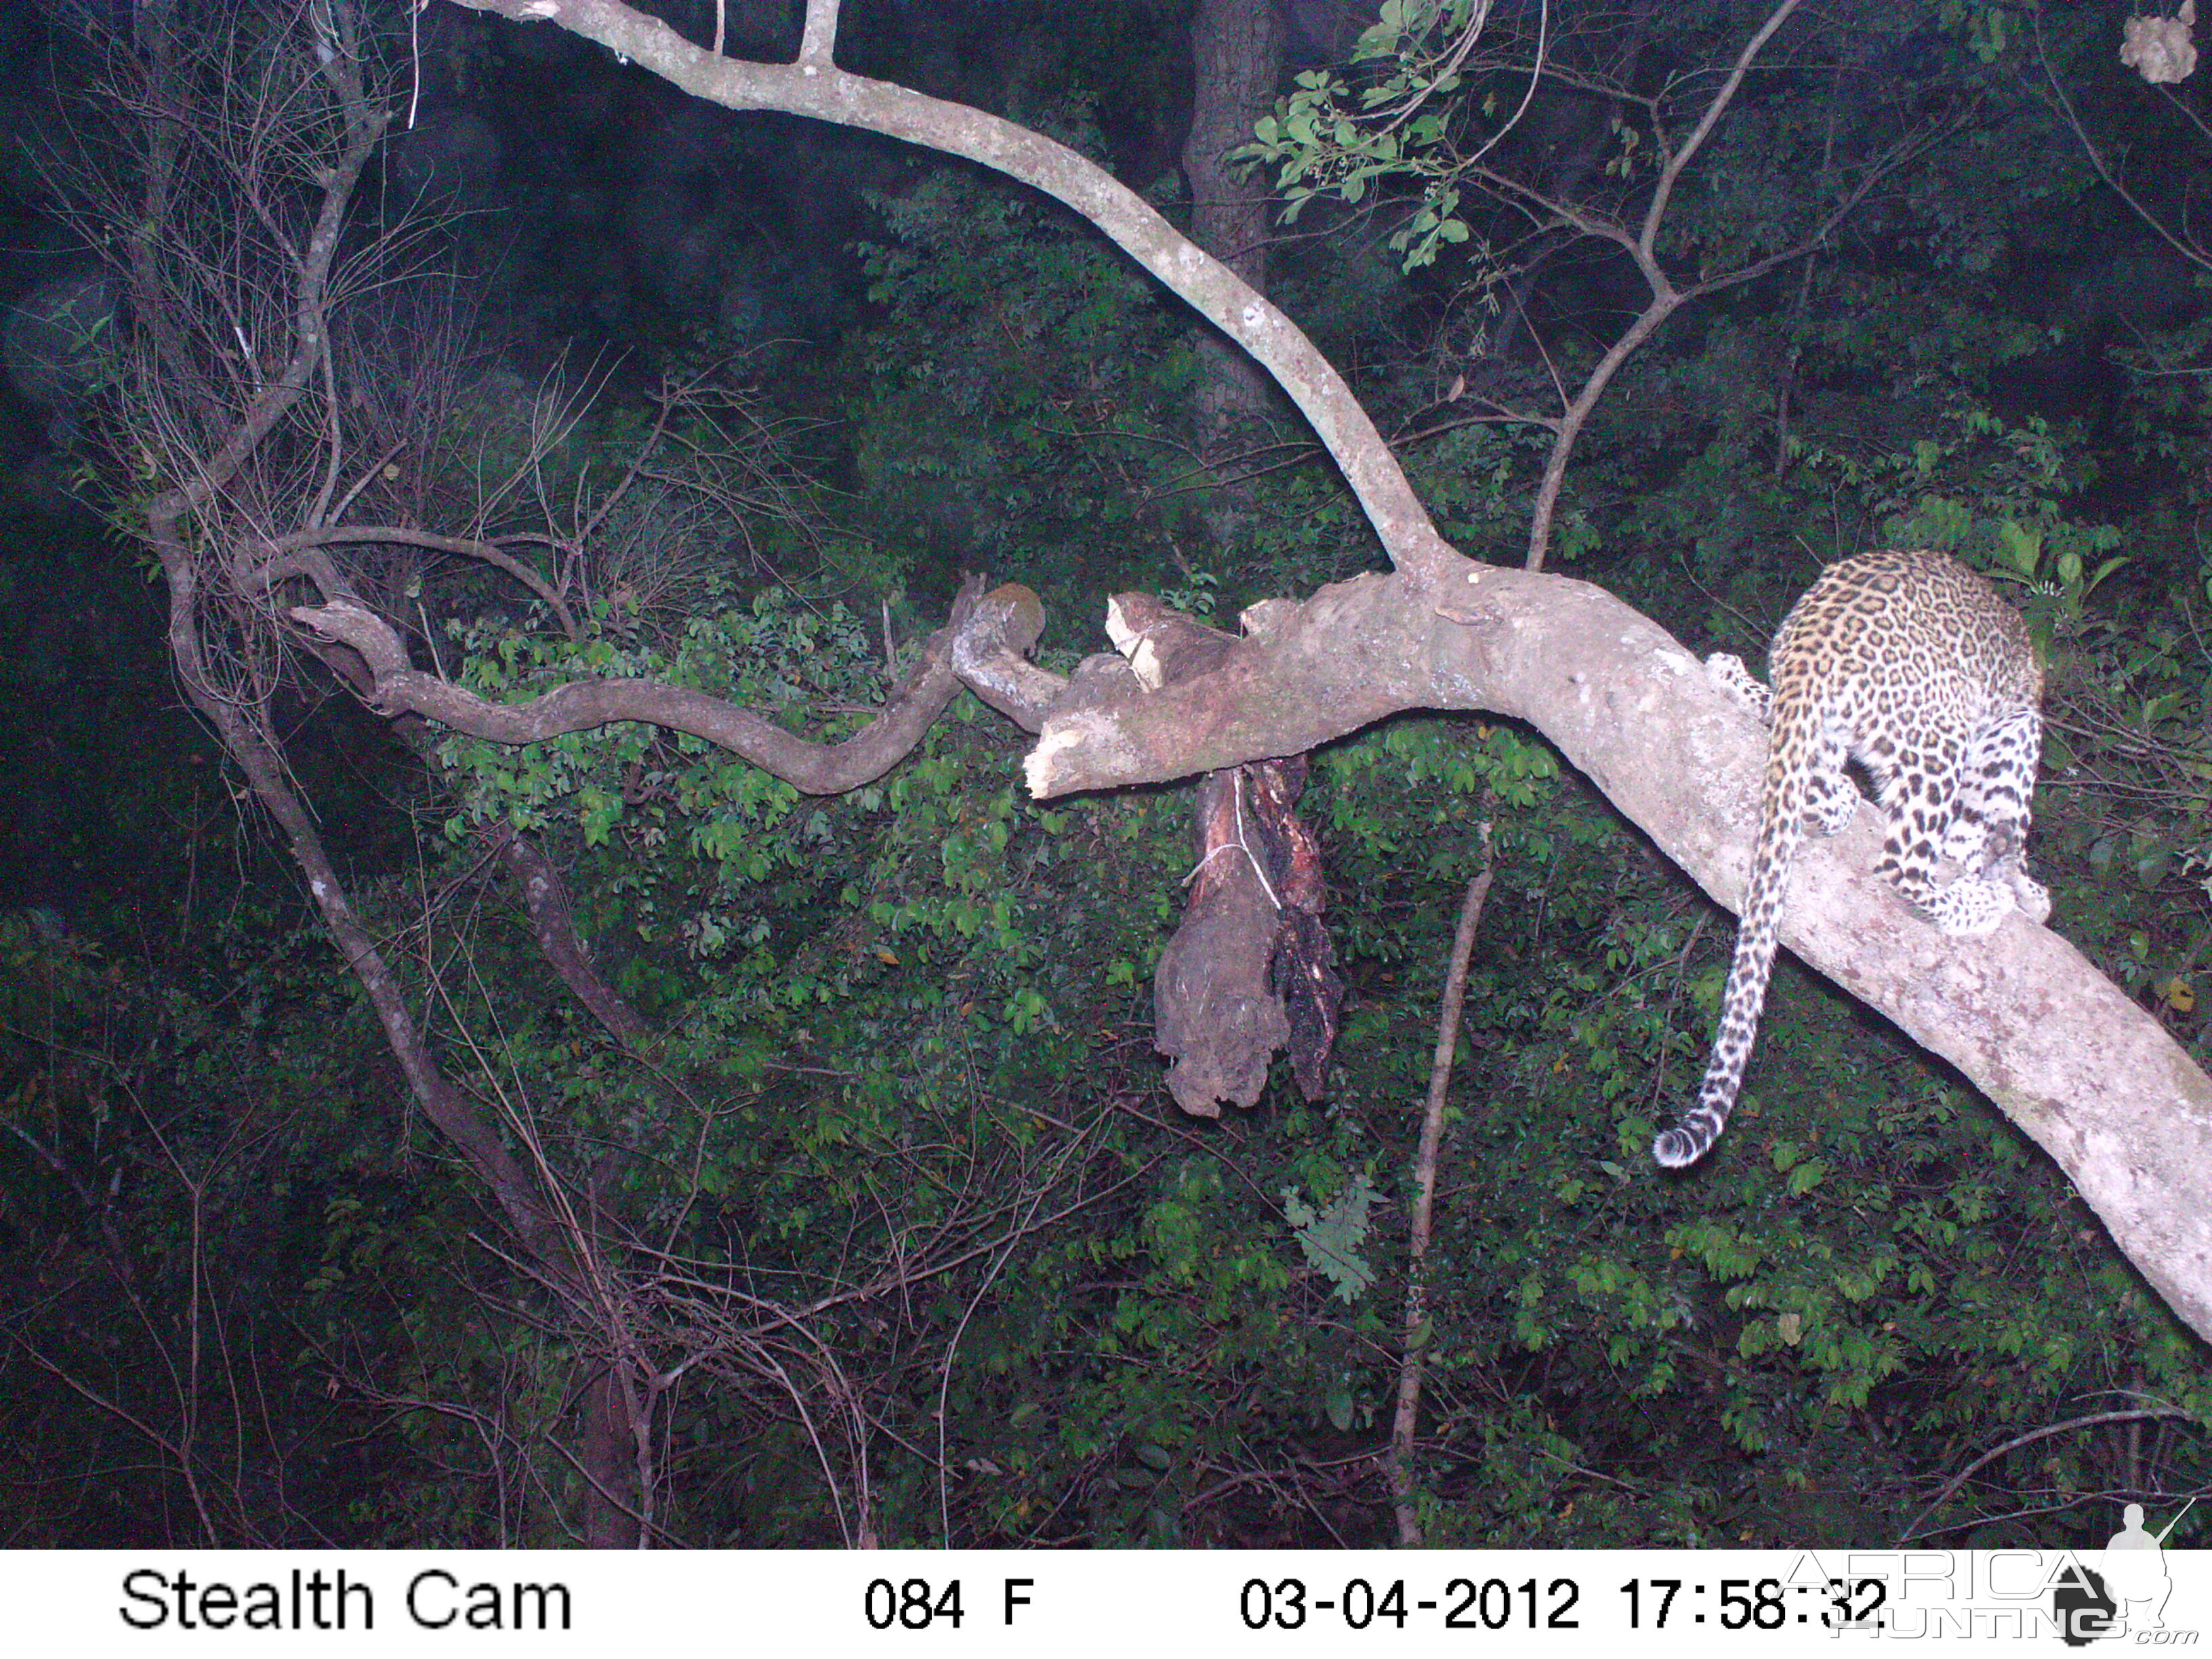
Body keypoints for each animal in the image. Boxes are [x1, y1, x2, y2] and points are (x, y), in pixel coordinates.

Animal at [1654, 548, 2043, 1168]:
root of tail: (1819, 631)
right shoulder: (2015, 732)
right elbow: (2006, 827)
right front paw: (2022, 887)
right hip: (1938, 736)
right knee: (1901, 867)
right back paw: (1978, 903)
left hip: (1823, 717)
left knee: (1795, 760)